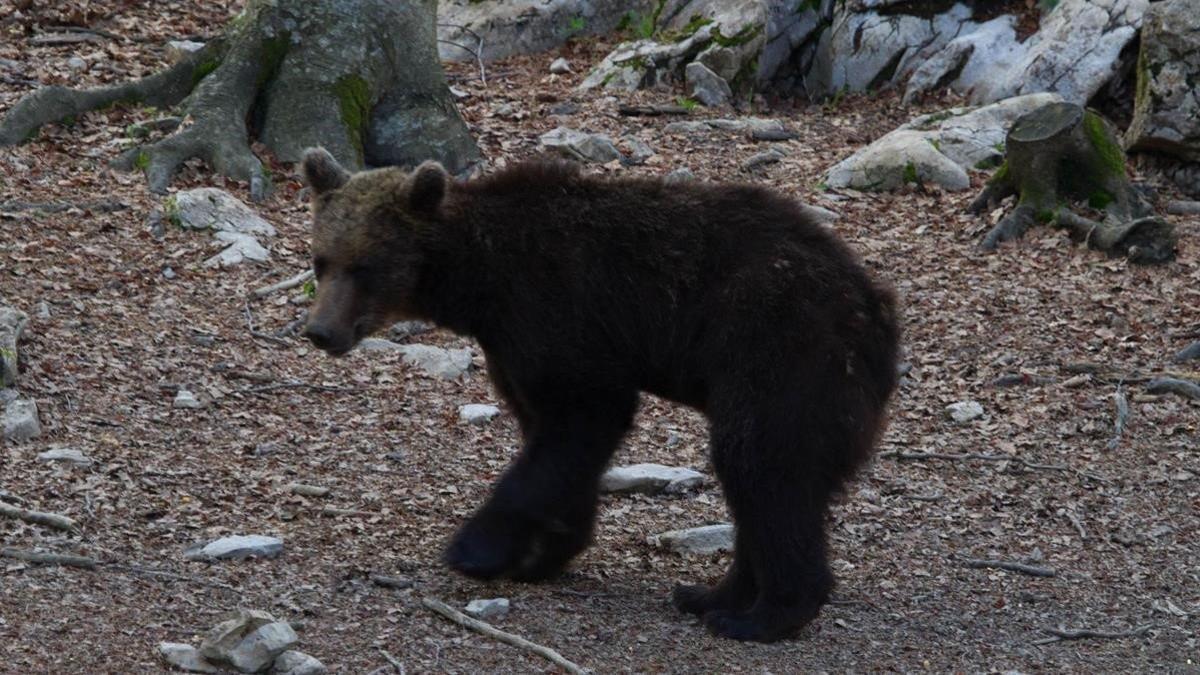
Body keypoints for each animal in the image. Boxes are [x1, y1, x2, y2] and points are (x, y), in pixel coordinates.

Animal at [302, 147, 902, 638]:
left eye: (365, 266)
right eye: (321, 260)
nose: (320, 331)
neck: (481, 283)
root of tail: (875, 308)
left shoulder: (559, 311)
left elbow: (583, 417)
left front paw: (476, 547)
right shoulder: (514, 348)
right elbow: (553, 439)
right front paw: (542, 551)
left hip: (779, 349)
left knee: (761, 465)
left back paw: (761, 614)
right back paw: (710, 594)